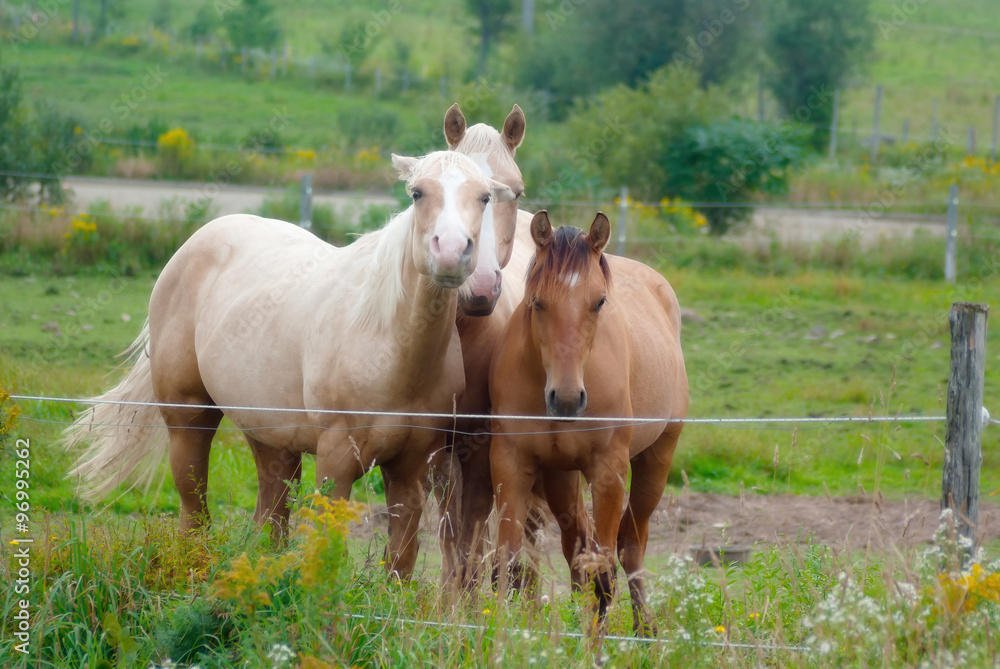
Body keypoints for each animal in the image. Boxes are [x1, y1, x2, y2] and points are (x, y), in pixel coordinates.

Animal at [66, 151, 516, 580]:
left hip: (271, 440)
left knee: (270, 516)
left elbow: (401, 563)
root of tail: (199, 239)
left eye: (484, 197)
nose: (452, 252)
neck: (389, 347)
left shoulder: (410, 468)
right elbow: (327, 547)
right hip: (188, 418)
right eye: (417, 193)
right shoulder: (336, 461)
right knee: (194, 508)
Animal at [486, 209, 688, 632]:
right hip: (561, 476)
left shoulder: (608, 471)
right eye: (537, 302)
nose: (565, 398)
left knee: (631, 545)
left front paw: (596, 643)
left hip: (656, 460)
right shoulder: (511, 464)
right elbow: (506, 565)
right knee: (576, 544)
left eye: (599, 302)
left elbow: (604, 573)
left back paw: (644, 628)